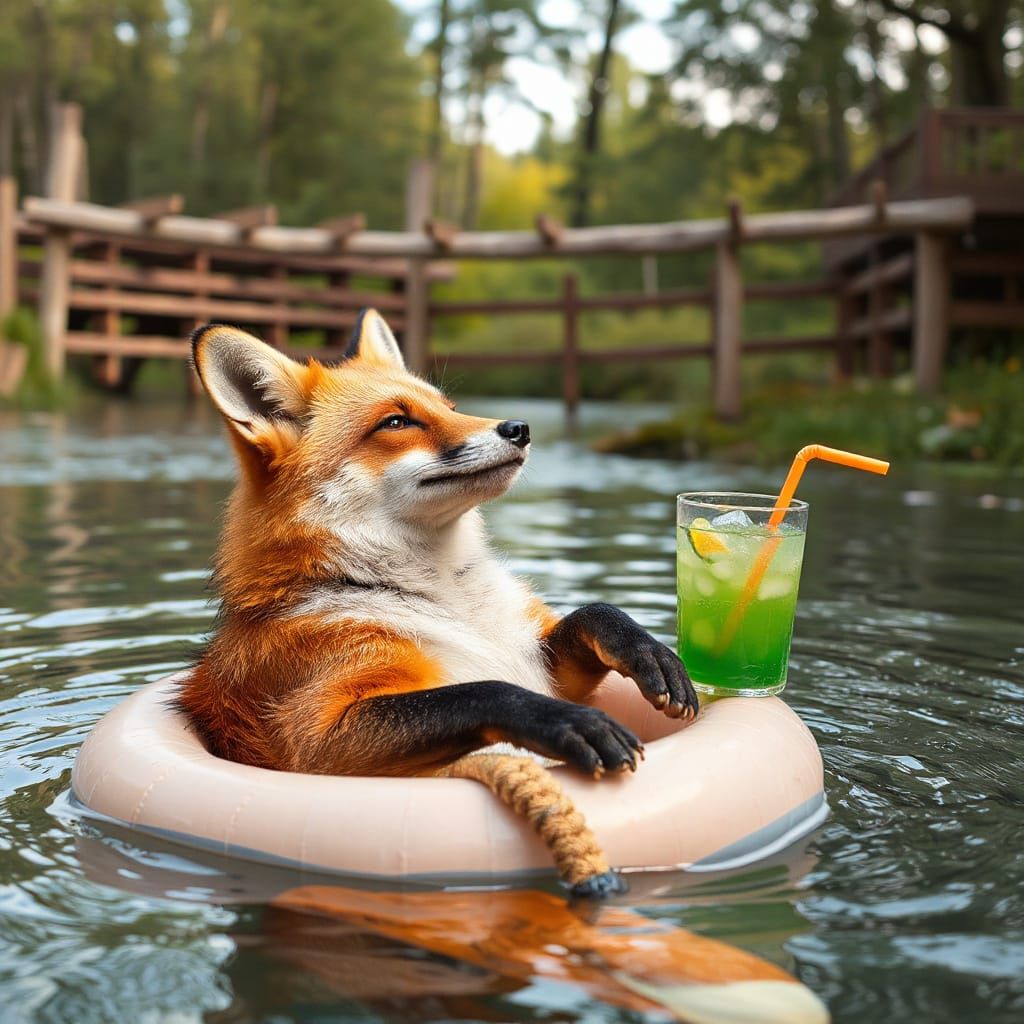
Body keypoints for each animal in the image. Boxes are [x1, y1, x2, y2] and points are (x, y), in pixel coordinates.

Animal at [179, 311, 697, 781]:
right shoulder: (317, 737)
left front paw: (652, 653)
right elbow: (484, 690)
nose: (520, 428)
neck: (444, 597)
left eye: (449, 407)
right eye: (396, 422)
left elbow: (596, 613)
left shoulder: (547, 666)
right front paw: (571, 723)